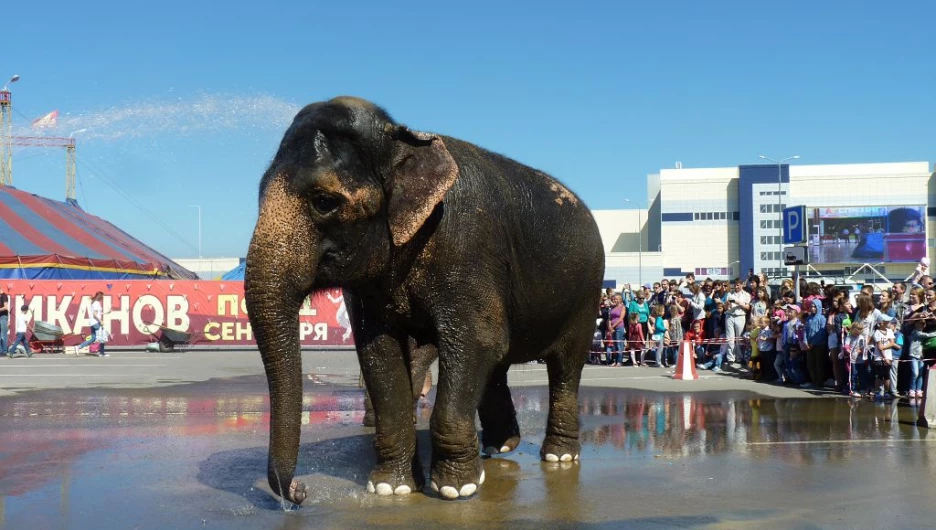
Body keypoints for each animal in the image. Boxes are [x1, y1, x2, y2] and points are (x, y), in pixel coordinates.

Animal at [245, 96, 604, 504]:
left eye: (324, 202)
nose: (299, 493)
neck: (401, 139)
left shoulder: (466, 246)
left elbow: (476, 340)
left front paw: (456, 490)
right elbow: (379, 353)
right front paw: (391, 488)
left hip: (587, 292)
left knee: (565, 365)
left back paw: (559, 457)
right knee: (497, 365)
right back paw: (499, 448)